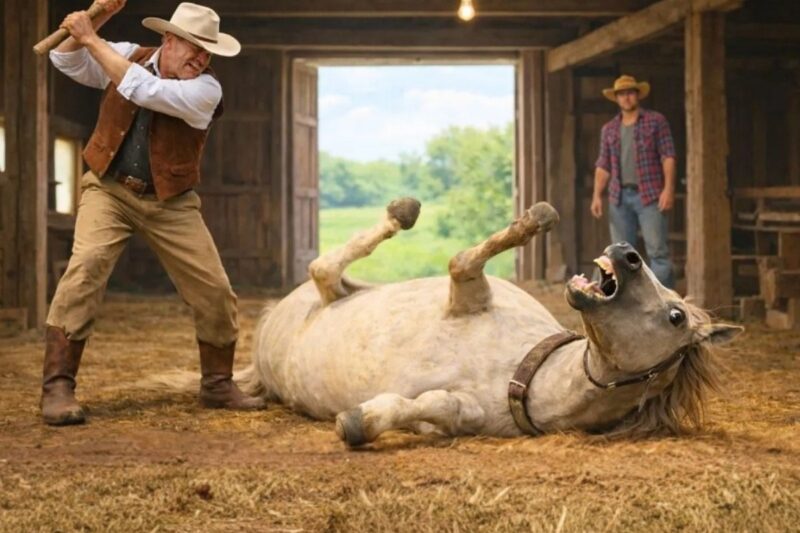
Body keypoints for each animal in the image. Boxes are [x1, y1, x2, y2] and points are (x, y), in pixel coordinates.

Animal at [235, 198, 742, 446]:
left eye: (676, 316)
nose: (628, 253)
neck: (523, 371)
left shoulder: (455, 413)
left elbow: (428, 407)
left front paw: (361, 420)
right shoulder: (468, 289)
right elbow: (466, 258)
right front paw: (536, 218)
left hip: (326, 293)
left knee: (322, 268)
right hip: (343, 289)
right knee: (331, 265)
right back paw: (403, 210)